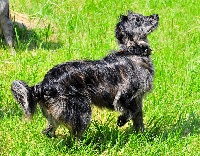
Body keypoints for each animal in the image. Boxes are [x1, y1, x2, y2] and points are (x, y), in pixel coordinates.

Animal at [11, 11, 159, 140]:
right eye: (138, 20)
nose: (156, 15)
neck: (133, 51)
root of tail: (43, 85)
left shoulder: (137, 99)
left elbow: (138, 119)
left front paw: (142, 137)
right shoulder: (125, 96)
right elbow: (130, 112)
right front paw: (121, 121)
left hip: (57, 115)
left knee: (48, 131)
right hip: (82, 110)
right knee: (75, 135)